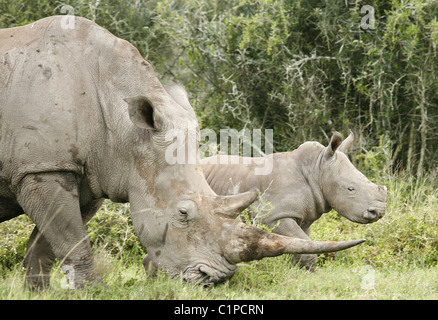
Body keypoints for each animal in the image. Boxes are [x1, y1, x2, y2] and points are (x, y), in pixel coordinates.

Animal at [0, 16, 362, 288]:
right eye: (183, 213)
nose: (211, 280)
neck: (123, 128)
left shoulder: (86, 171)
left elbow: (46, 243)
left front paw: (37, 293)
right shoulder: (42, 168)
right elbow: (73, 239)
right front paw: (92, 292)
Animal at [199, 132, 386, 270]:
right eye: (350, 189)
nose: (379, 212)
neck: (317, 169)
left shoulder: (305, 217)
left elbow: (304, 242)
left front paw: (298, 270)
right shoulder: (275, 216)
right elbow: (303, 242)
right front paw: (307, 272)